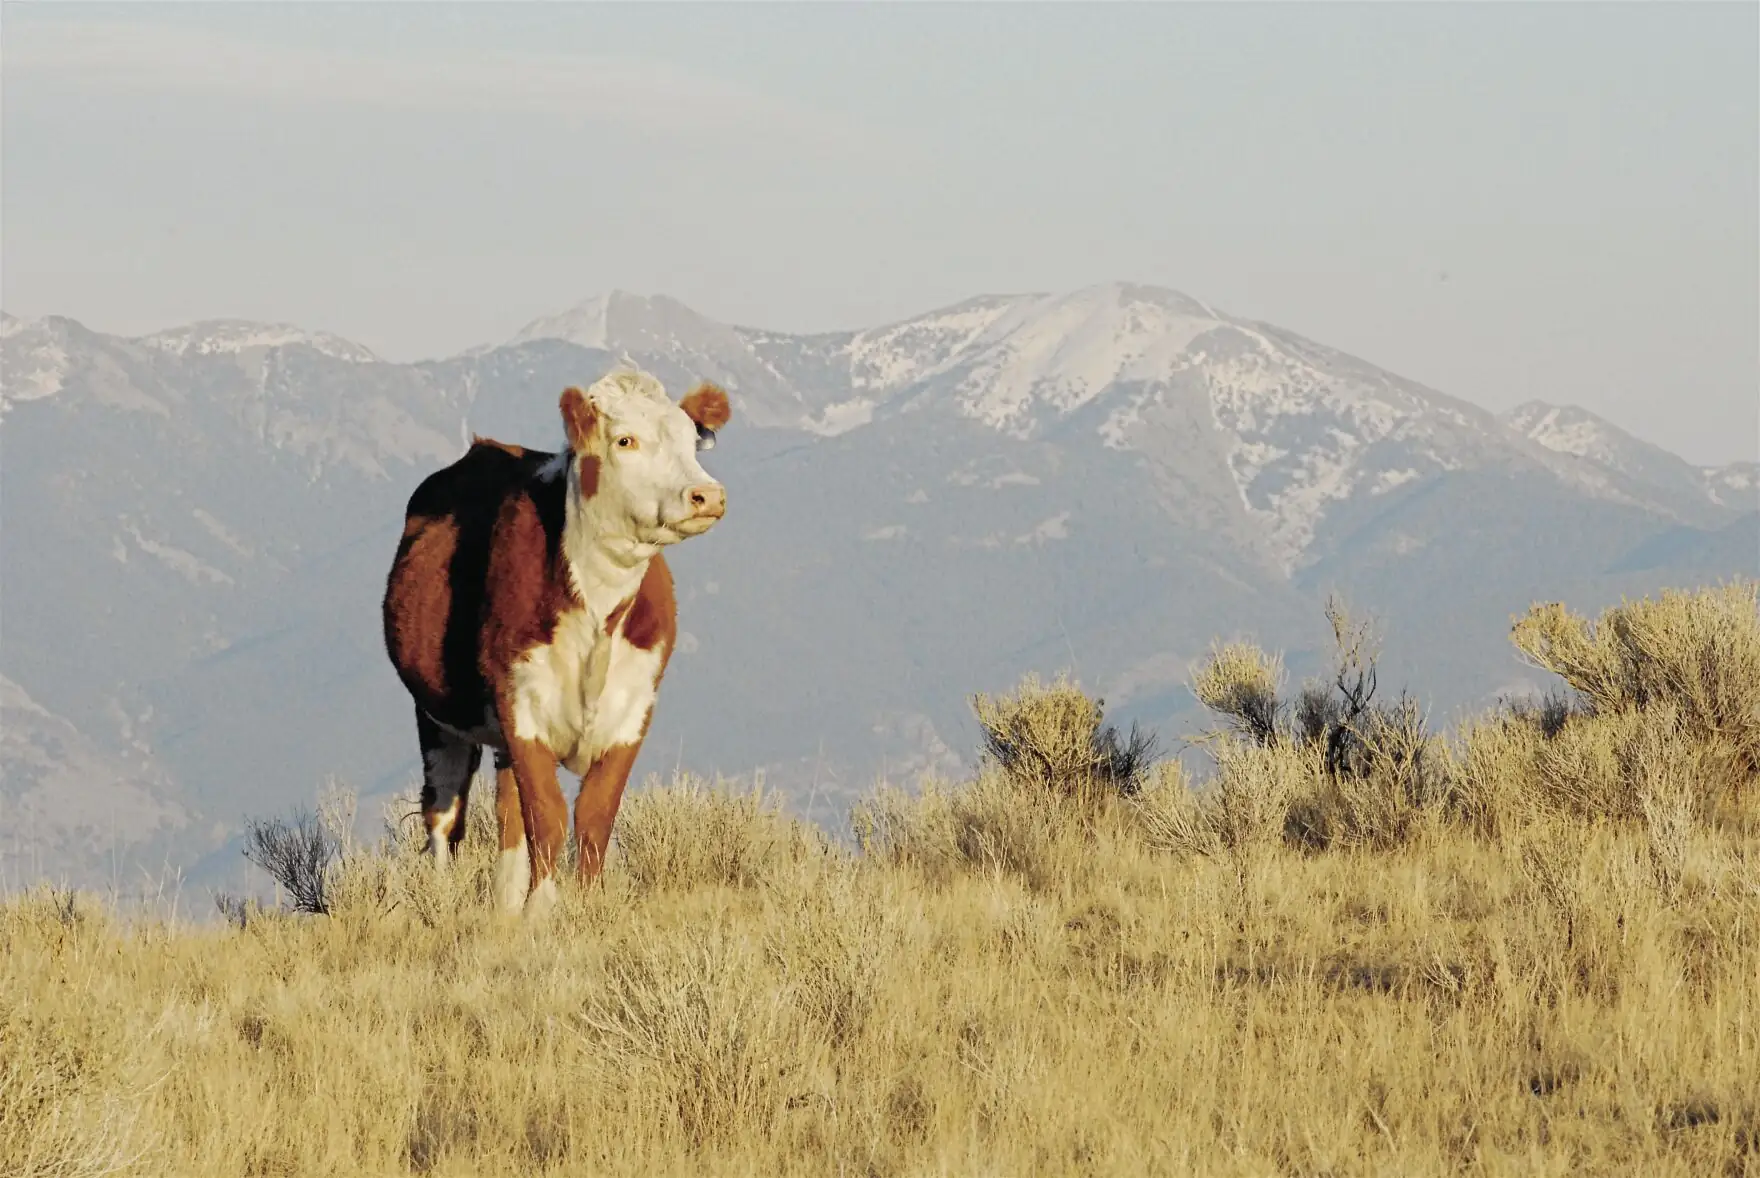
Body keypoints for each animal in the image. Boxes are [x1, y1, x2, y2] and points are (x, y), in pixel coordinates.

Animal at [381, 366, 731, 915]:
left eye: (691, 439)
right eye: (624, 440)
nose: (706, 495)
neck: (597, 612)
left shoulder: (633, 709)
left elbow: (593, 816)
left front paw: (583, 908)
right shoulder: (521, 703)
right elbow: (546, 814)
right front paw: (541, 911)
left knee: (506, 812)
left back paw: (504, 903)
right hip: (436, 716)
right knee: (443, 815)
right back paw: (443, 900)